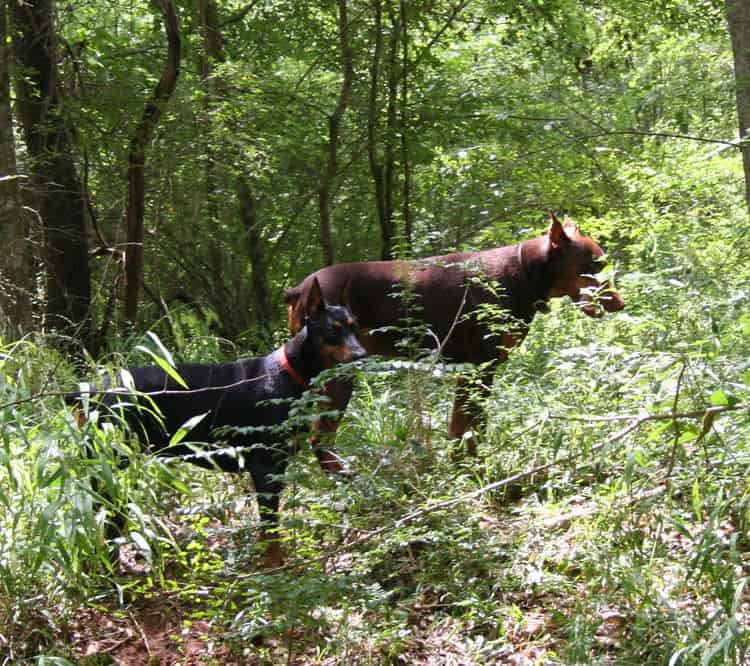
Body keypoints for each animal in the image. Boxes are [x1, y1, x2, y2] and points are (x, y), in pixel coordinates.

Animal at [72, 276, 366, 564]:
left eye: (354, 327)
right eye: (333, 330)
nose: (362, 356)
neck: (290, 374)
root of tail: (89, 390)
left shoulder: (279, 465)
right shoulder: (264, 468)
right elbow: (270, 529)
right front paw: (275, 566)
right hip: (113, 466)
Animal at [284, 215, 624, 454]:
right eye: (593, 266)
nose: (621, 303)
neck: (524, 274)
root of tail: (299, 289)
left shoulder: (480, 369)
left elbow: (468, 429)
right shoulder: (479, 368)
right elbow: (467, 430)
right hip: (338, 373)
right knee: (319, 441)